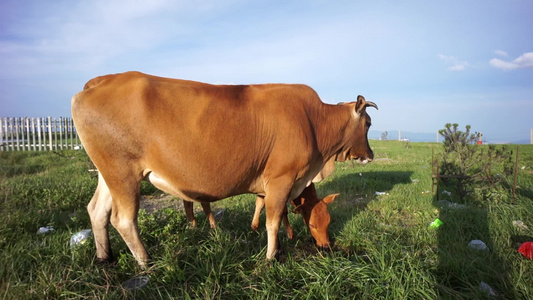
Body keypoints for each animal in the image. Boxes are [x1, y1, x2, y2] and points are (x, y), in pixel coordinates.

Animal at [72, 71, 376, 266]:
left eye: (328, 221)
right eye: (368, 124)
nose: (325, 248)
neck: (314, 121)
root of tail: (99, 81)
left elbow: (274, 213)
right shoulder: (281, 178)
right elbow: (273, 220)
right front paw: (271, 257)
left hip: (108, 173)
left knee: (97, 211)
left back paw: (104, 258)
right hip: (123, 173)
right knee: (123, 220)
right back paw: (146, 262)